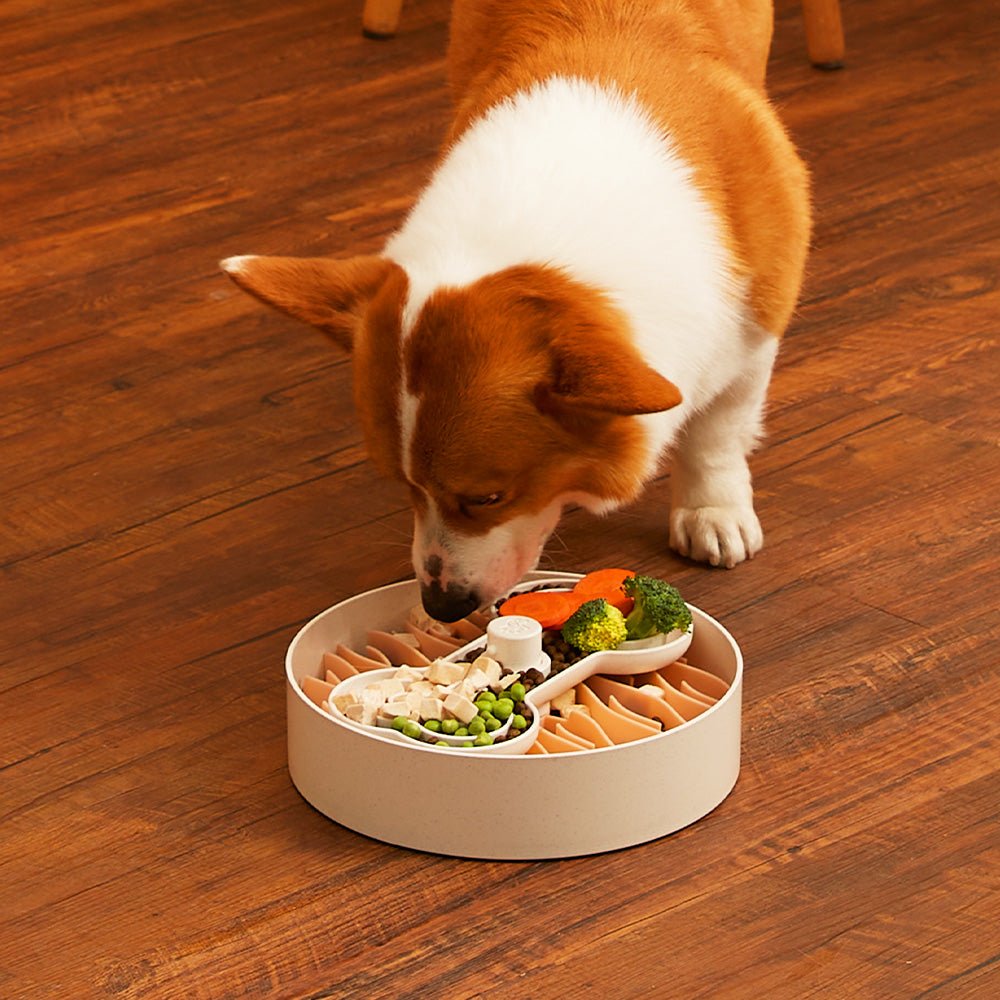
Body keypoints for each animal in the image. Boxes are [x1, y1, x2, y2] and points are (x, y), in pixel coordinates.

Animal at [223, 0, 808, 620]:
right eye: (403, 485)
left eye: (488, 497)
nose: (441, 607)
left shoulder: (753, 331)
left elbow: (717, 432)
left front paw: (712, 514)